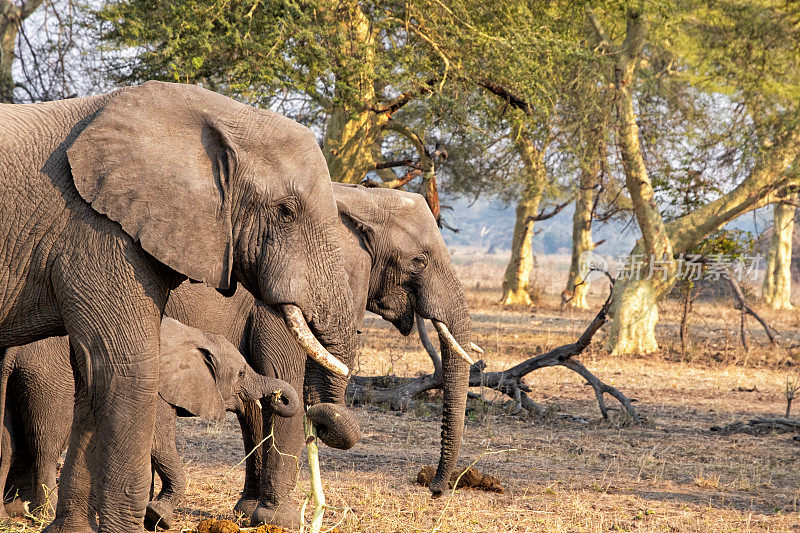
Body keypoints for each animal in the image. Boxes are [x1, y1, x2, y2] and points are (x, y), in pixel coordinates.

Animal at [0, 316, 300, 528]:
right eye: (241, 373)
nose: (278, 398)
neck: (190, 335)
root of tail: (13, 352)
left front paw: (150, 514)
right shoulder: (156, 390)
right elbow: (158, 442)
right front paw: (158, 517)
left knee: (10, 443)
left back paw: (14, 511)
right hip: (51, 382)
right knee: (46, 443)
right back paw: (44, 513)